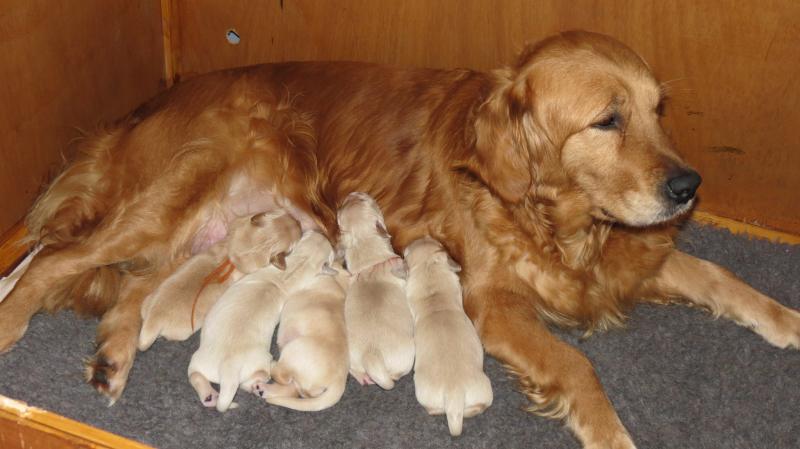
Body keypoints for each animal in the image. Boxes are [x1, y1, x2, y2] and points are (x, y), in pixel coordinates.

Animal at [138, 210, 300, 350]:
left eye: (286, 214)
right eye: (296, 240)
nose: (299, 222)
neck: (234, 255)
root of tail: (152, 321)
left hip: (147, 302)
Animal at [253, 233, 346, 412]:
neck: (304, 260)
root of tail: (339, 381)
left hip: (293, 350)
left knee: (284, 376)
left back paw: (271, 365)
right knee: (295, 390)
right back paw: (264, 389)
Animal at [336, 191, 416, 386]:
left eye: (341, 209)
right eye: (366, 200)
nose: (353, 193)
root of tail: (371, 355)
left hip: (353, 359)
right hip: (407, 355)